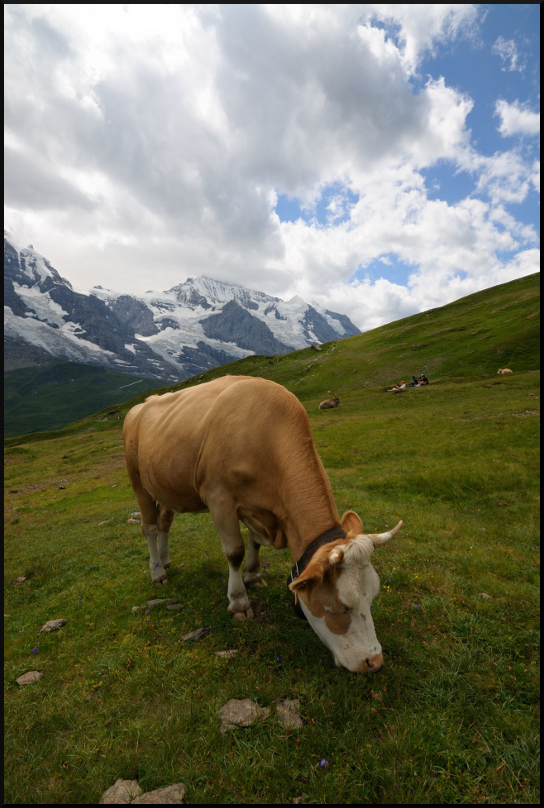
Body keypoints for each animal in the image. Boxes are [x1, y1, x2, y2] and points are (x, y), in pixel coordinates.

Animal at [123, 376, 402, 673]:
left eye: (372, 598)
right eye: (340, 607)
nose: (374, 661)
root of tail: (140, 406)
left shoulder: (257, 508)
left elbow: (255, 543)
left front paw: (254, 576)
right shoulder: (220, 498)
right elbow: (235, 551)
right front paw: (238, 601)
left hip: (167, 485)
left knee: (165, 521)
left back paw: (165, 561)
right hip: (137, 478)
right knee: (149, 527)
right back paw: (156, 572)